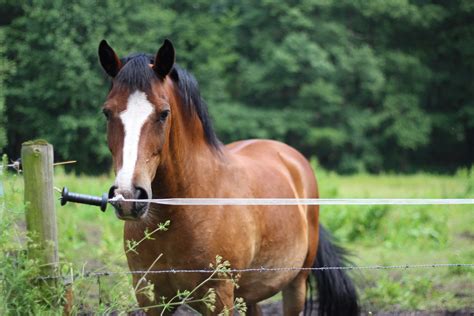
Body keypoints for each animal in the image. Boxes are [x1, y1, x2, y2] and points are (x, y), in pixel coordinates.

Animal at [98, 39, 358, 316]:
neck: (183, 208)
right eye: (107, 113)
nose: (128, 196)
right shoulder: (151, 298)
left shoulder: (219, 297)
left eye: (164, 113)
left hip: (295, 284)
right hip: (249, 293)